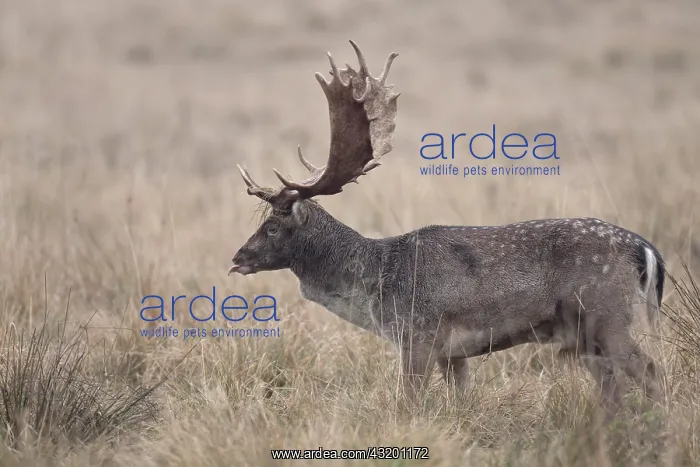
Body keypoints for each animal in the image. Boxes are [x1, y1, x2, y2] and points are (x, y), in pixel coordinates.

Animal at [228, 40, 666, 416]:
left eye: (272, 226)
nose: (237, 258)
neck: (375, 282)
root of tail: (645, 250)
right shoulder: (452, 353)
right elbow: (461, 398)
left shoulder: (418, 334)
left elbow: (408, 399)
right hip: (587, 331)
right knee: (614, 383)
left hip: (605, 313)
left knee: (649, 371)